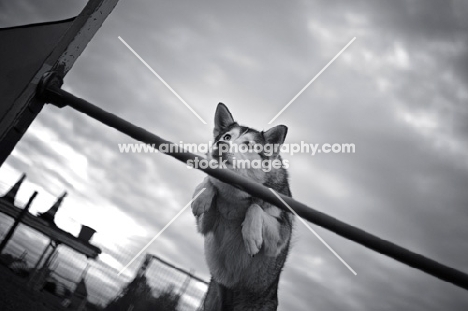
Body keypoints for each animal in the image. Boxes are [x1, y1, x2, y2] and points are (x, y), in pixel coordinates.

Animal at [190, 103, 292, 310]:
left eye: (248, 145)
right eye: (227, 137)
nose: (221, 144)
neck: (234, 196)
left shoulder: (279, 239)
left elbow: (255, 208)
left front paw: (251, 235)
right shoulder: (207, 224)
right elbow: (209, 183)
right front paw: (202, 197)